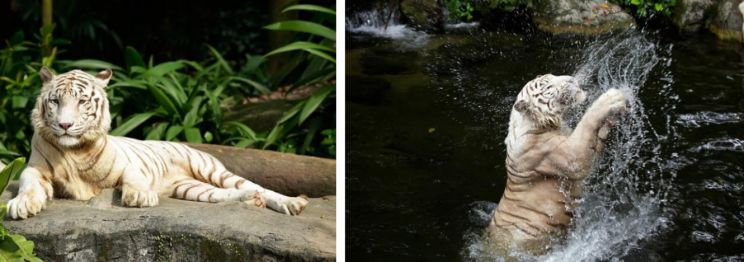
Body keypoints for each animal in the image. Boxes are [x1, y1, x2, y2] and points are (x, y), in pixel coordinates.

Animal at [5, 67, 308, 219]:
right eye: (55, 101)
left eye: (81, 101)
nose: (65, 125)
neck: (75, 151)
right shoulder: (35, 169)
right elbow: (29, 184)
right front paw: (22, 205)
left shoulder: (127, 165)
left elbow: (133, 177)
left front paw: (140, 196)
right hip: (191, 188)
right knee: (226, 194)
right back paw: (250, 201)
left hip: (212, 170)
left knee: (257, 185)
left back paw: (292, 203)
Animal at [482, 73, 628, 256]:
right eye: (549, 87)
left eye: (552, 75)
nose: (572, 79)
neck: (544, 124)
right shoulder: (570, 157)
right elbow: (586, 125)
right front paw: (611, 97)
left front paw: (614, 117)